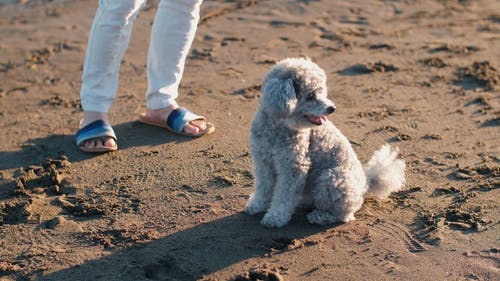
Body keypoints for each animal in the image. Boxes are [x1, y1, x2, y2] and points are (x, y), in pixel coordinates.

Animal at [246, 57, 406, 228]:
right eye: (310, 96)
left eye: (322, 92)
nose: (332, 108)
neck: (279, 125)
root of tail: (365, 186)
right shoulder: (262, 161)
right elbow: (263, 186)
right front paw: (256, 205)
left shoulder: (293, 167)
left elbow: (284, 196)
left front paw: (275, 217)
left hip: (331, 180)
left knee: (344, 215)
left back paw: (320, 216)